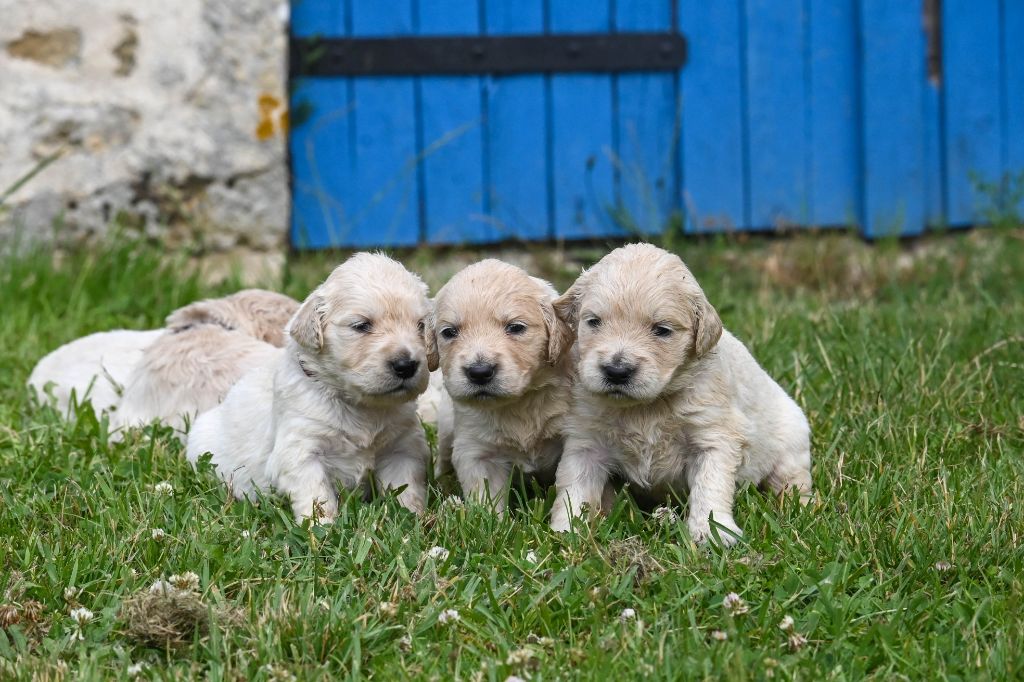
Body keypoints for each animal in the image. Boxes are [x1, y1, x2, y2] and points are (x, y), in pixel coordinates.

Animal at [186, 251, 430, 518]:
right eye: (362, 325)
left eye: (421, 325)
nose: (406, 365)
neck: (361, 406)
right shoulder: (301, 449)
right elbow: (317, 496)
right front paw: (322, 526)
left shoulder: (402, 446)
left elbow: (406, 488)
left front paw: (415, 518)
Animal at [421, 260, 573, 509]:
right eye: (449, 332)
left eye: (516, 327)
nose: (479, 372)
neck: (520, 403)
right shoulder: (476, 451)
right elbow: (485, 502)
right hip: (446, 428)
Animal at [548, 241, 811, 544]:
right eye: (593, 322)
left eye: (662, 330)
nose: (616, 371)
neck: (646, 406)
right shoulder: (586, 441)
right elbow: (574, 488)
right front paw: (567, 531)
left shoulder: (714, 436)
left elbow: (710, 486)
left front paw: (711, 532)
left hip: (791, 445)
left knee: (793, 481)